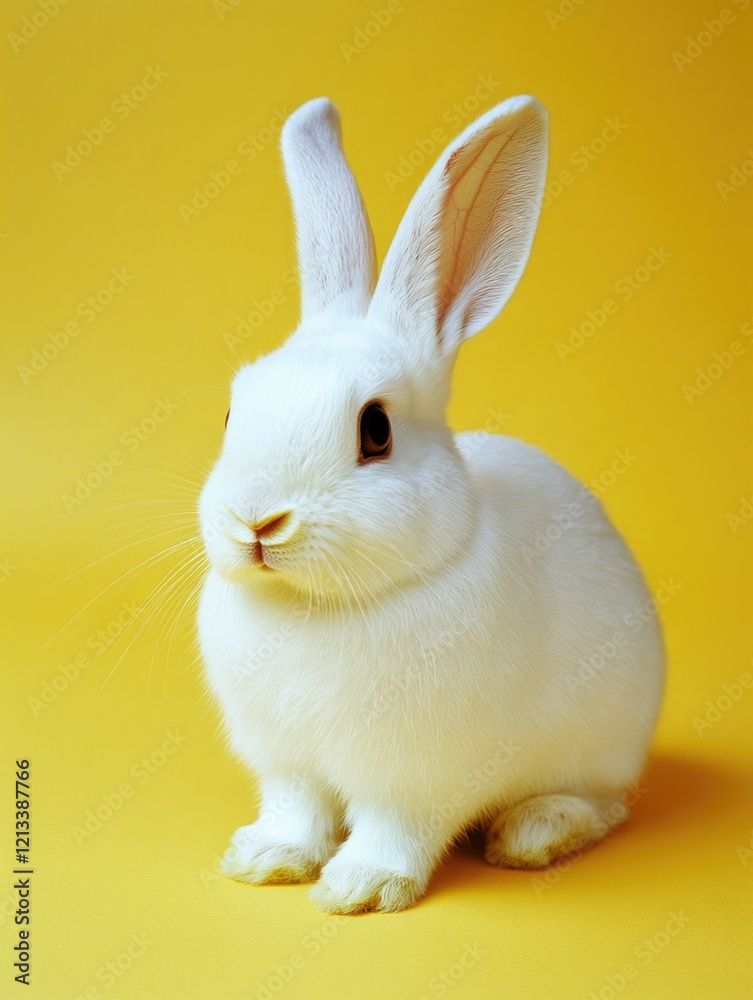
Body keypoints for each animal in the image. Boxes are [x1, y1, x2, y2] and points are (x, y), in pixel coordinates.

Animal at [197, 95, 665, 914]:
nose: (256, 520)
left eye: (375, 430)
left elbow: (395, 827)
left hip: (603, 743)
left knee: (603, 804)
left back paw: (533, 833)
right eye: (232, 412)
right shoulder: (286, 762)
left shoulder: (415, 776)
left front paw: (361, 888)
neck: (314, 606)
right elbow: (296, 810)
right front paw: (264, 860)